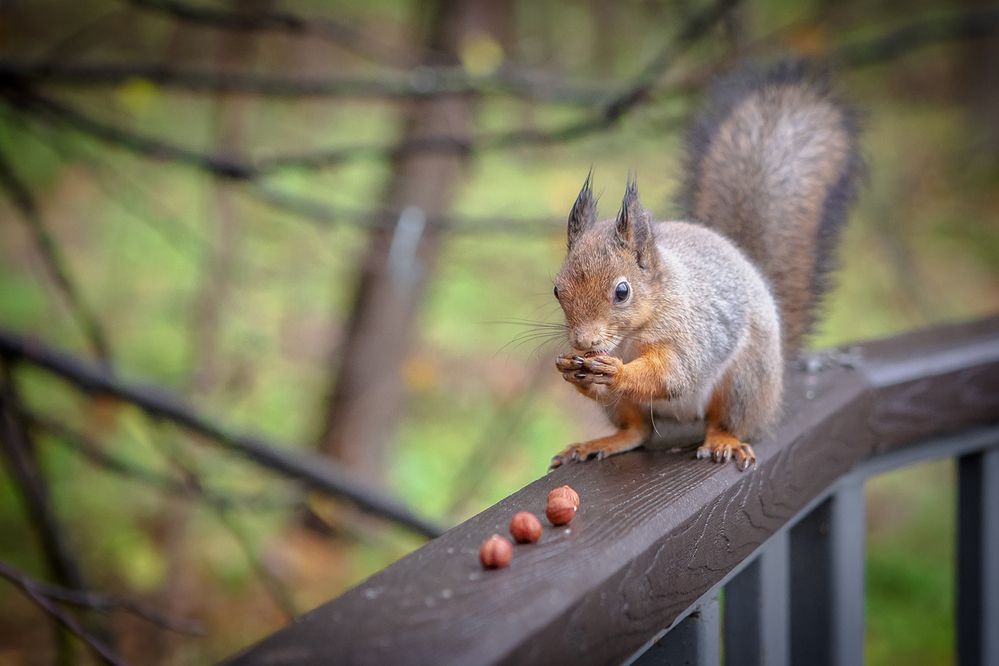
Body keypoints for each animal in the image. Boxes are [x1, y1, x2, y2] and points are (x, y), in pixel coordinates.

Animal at [550, 60, 862, 471]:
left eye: (622, 291)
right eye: (557, 290)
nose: (583, 343)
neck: (632, 333)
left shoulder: (692, 331)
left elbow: (675, 373)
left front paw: (617, 371)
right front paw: (572, 370)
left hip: (746, 379)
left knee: (726, 421)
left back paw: (723, 440)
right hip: (630, 409)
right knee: (637, 430)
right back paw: (603, 441)